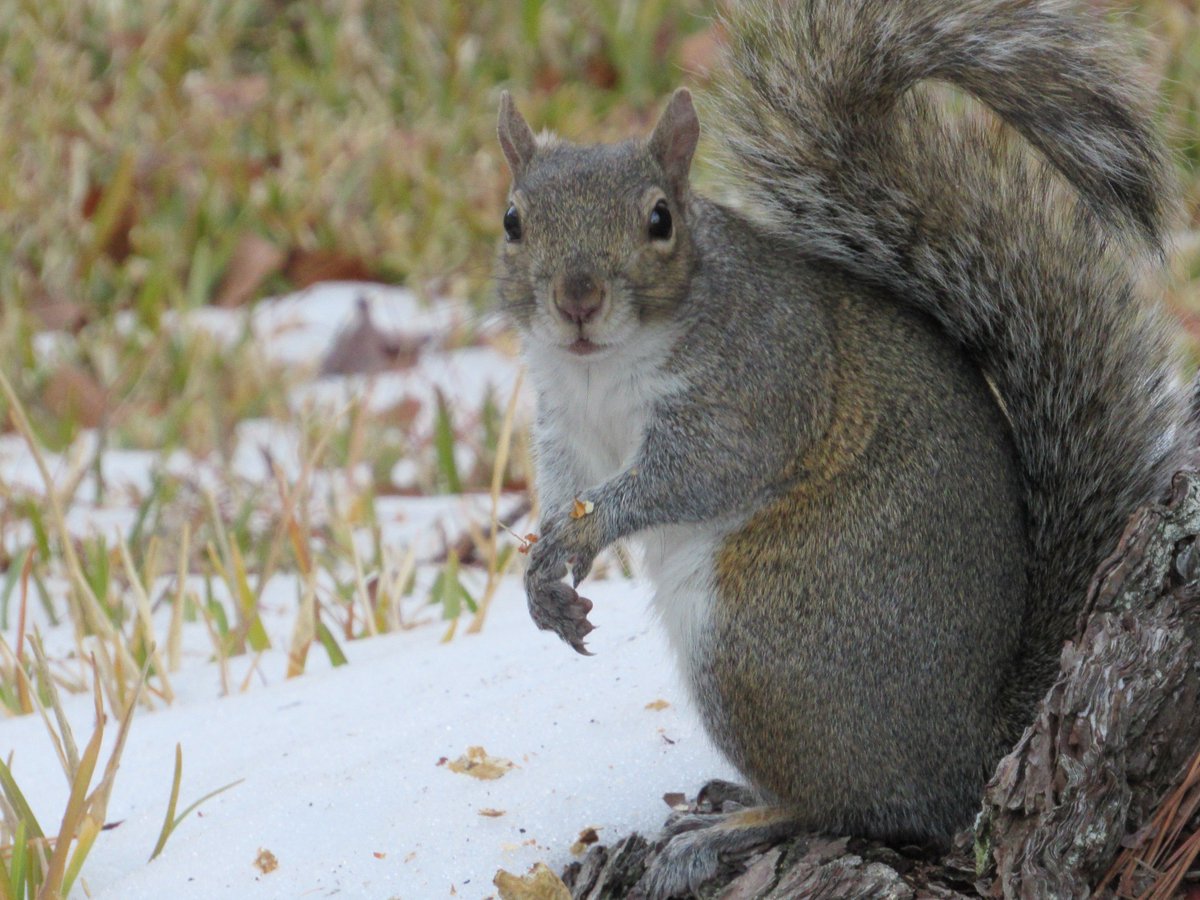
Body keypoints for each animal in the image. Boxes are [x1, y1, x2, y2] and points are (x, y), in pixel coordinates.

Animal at [495, 0, 1196, 895]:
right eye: (513, 221)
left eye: (659, 220)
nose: (576, 300)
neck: (599, 370)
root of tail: (973, 744)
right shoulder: (563, 420)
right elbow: (561, 483)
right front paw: (544, 573)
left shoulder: (755, 386)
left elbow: (690, 475)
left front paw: (589, 534)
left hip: (765, 635)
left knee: (848, 806)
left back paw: (727, 827)